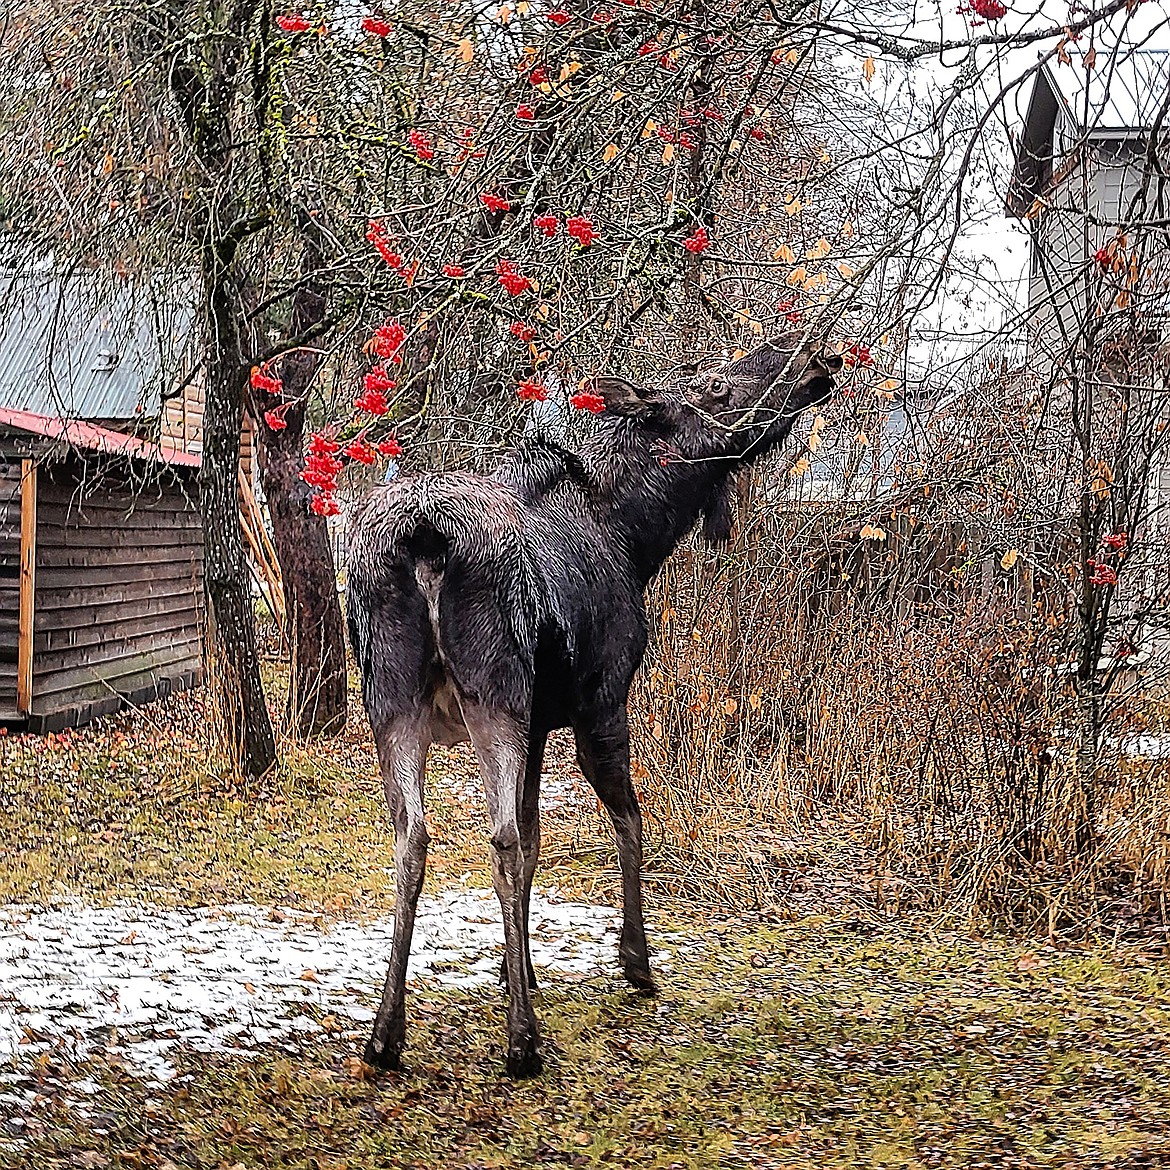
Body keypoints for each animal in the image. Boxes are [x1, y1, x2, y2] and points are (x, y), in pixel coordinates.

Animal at [346, 332, 842, 1076]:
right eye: (713, 386)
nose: (814, 357)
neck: (641, 535)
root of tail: (425, 535)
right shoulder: (600, 703)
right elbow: (627, 823)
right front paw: (634, 960)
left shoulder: (538, 725)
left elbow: (539, 843)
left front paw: (515, 967)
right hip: (495, 693)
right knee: (500, 837)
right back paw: (522, 1041)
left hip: (392, 700)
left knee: (414, 836)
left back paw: (385, 1032)